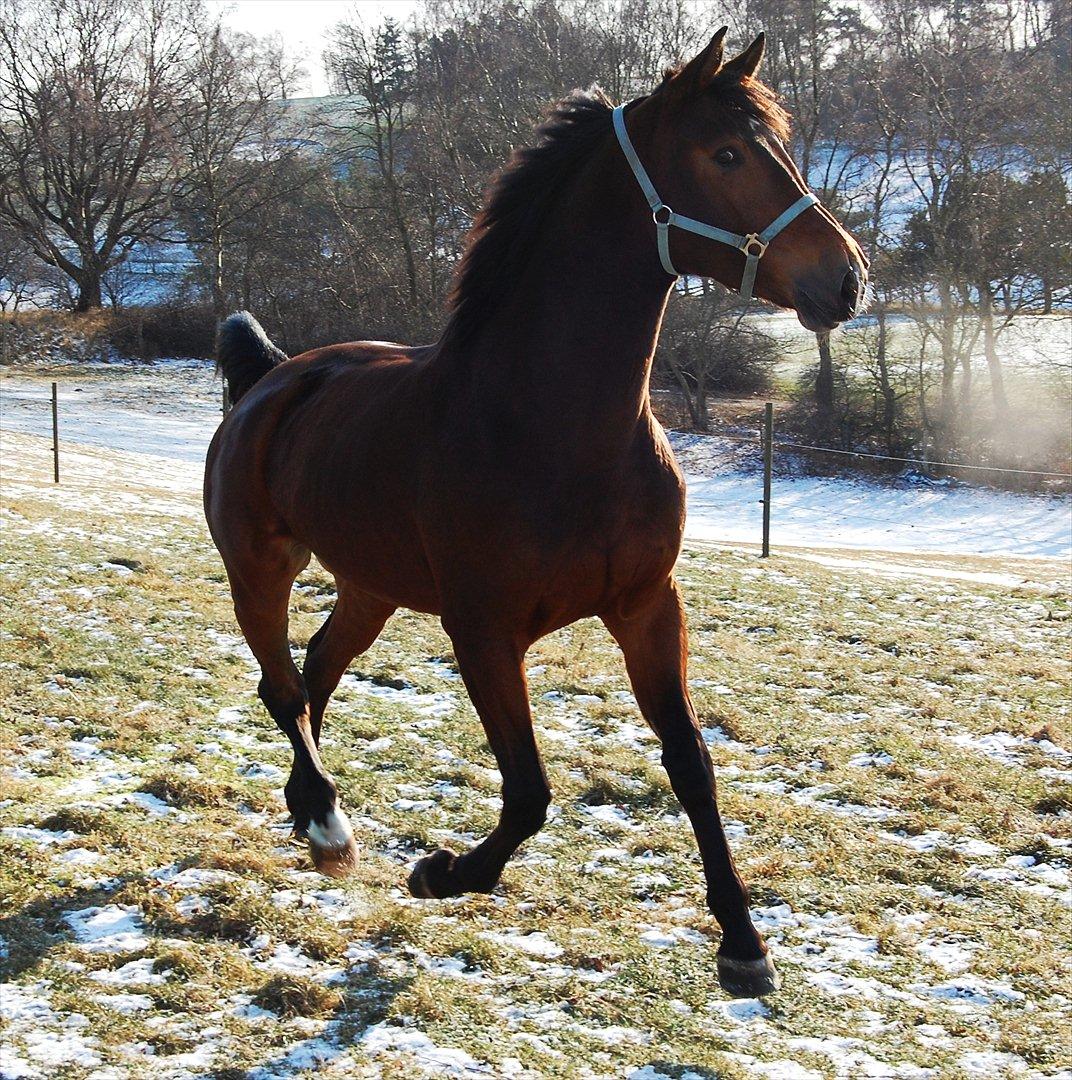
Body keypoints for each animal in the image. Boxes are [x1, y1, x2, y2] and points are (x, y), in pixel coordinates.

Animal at [205, 29, 867, 997]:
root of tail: (270, 377)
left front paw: (744, 944)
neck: (551, 429)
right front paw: (443, 872)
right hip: (258, 569)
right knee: (283, 686)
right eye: (727, 153)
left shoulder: (647, 607)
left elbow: (691, 764)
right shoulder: (484, 631)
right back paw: (328, 825)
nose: (846, 278)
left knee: (318, 671)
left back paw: (308, 815)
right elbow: (529, 792)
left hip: (371, 586)